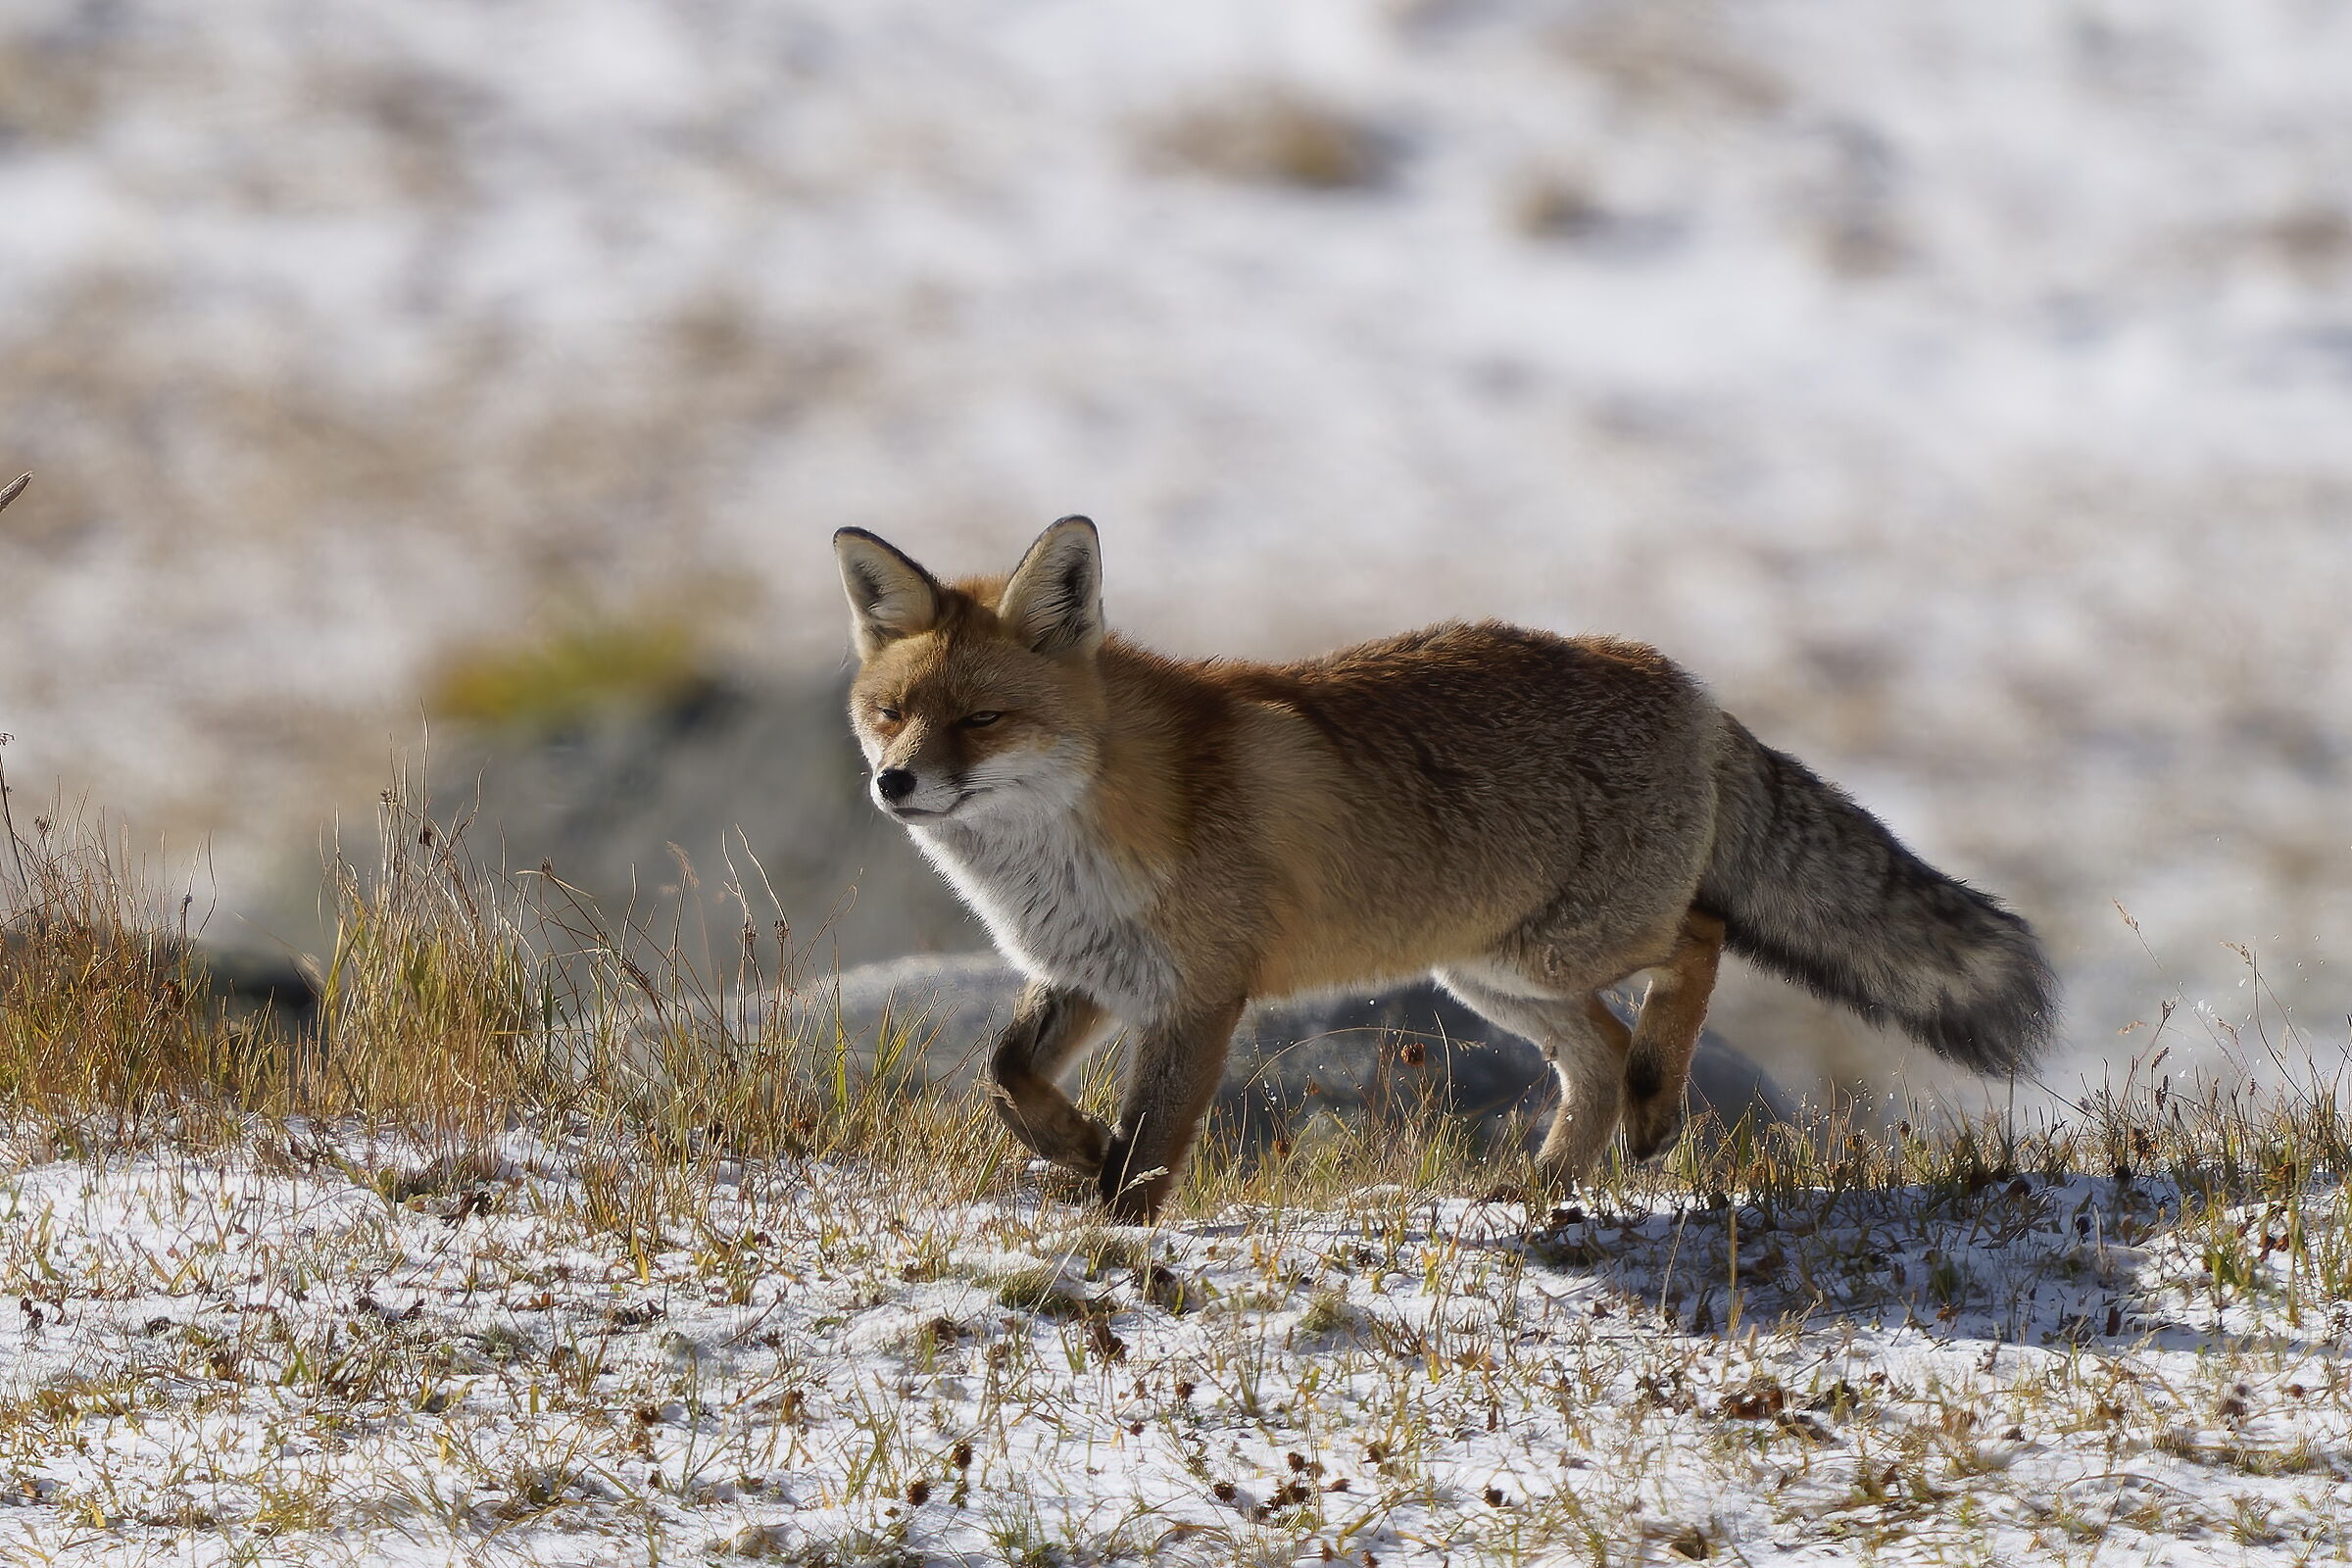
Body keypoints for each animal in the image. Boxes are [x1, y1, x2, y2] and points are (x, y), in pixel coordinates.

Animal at [835, 517, 2056, 1221]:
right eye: (890, 712)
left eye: (982, 720)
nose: (895, 784)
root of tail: (1678, 677)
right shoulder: (1091, 972)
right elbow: (1008, 1077)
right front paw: (1072, 1147)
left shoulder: (1199, 994)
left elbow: (1146, 1158)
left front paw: (1110, 1238)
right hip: (1492, 975)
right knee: (1599, 1053)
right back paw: (1547, 1181)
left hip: (1560, 945)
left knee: (1700, 936)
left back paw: (1657, 1107)